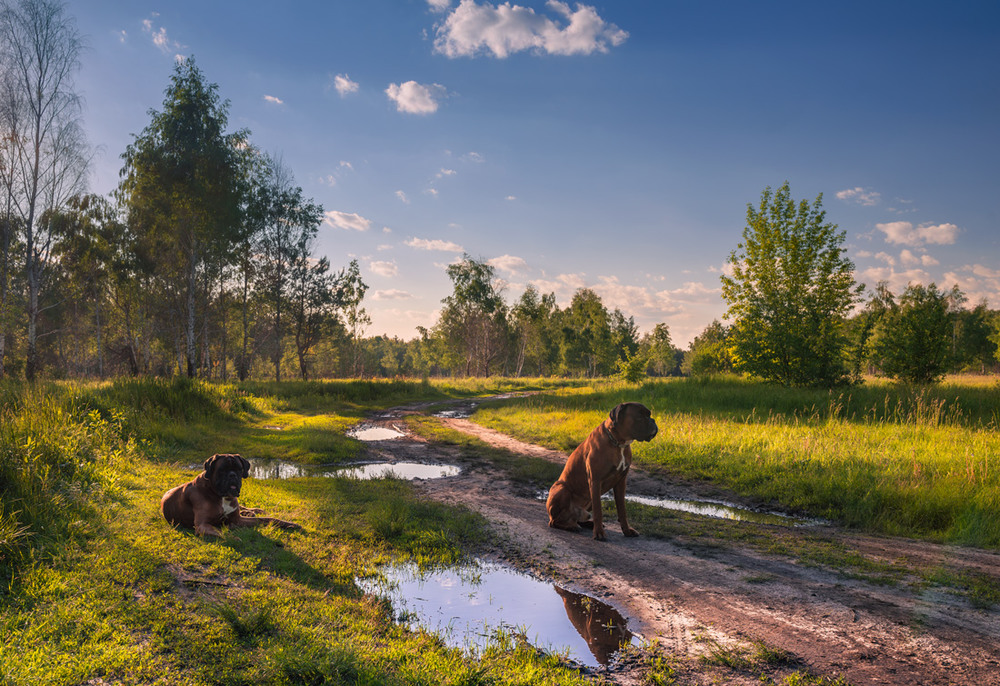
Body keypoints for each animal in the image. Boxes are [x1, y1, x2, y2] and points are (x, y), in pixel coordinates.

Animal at [158, 454, 300, 540]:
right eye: (222, 469)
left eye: (239, 468)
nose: (232, 475)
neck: (220, 496)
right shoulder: (202, 525)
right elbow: (221, 532)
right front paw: (234, 537)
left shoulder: (238, 519)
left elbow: (266, 519)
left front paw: (290, 524)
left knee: (243, 507)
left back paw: (254, 510)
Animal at [548, 404, 656, 544]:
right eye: (640, 416)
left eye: (649, 415)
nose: (653, 421)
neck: (618, 443)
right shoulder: (595, 481)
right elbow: (598, 511)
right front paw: (599, 533)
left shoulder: (621, 482)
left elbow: (622, 510)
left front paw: (627, 531)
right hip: (561, 489)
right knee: (554, 522)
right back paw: (571, 526)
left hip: (587, 502)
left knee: (577, 519)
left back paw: (587, 524)